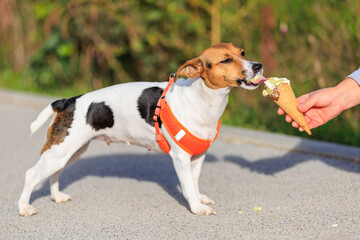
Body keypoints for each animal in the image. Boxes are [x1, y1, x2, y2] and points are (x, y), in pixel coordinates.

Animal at [18, 43, 262, 218]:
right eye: (226, 59)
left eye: (242, 52)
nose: (258, 65)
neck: (203, 98)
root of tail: (68, 101)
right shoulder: (181, 158)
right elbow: (187, 186)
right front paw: (196, 207)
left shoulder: (198, 156)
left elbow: (194, 182)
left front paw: (198, 198)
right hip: (59, 152)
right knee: (31, 174)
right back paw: (24, 208)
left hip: (70, 153)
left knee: (54, 174)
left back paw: (56, 196)